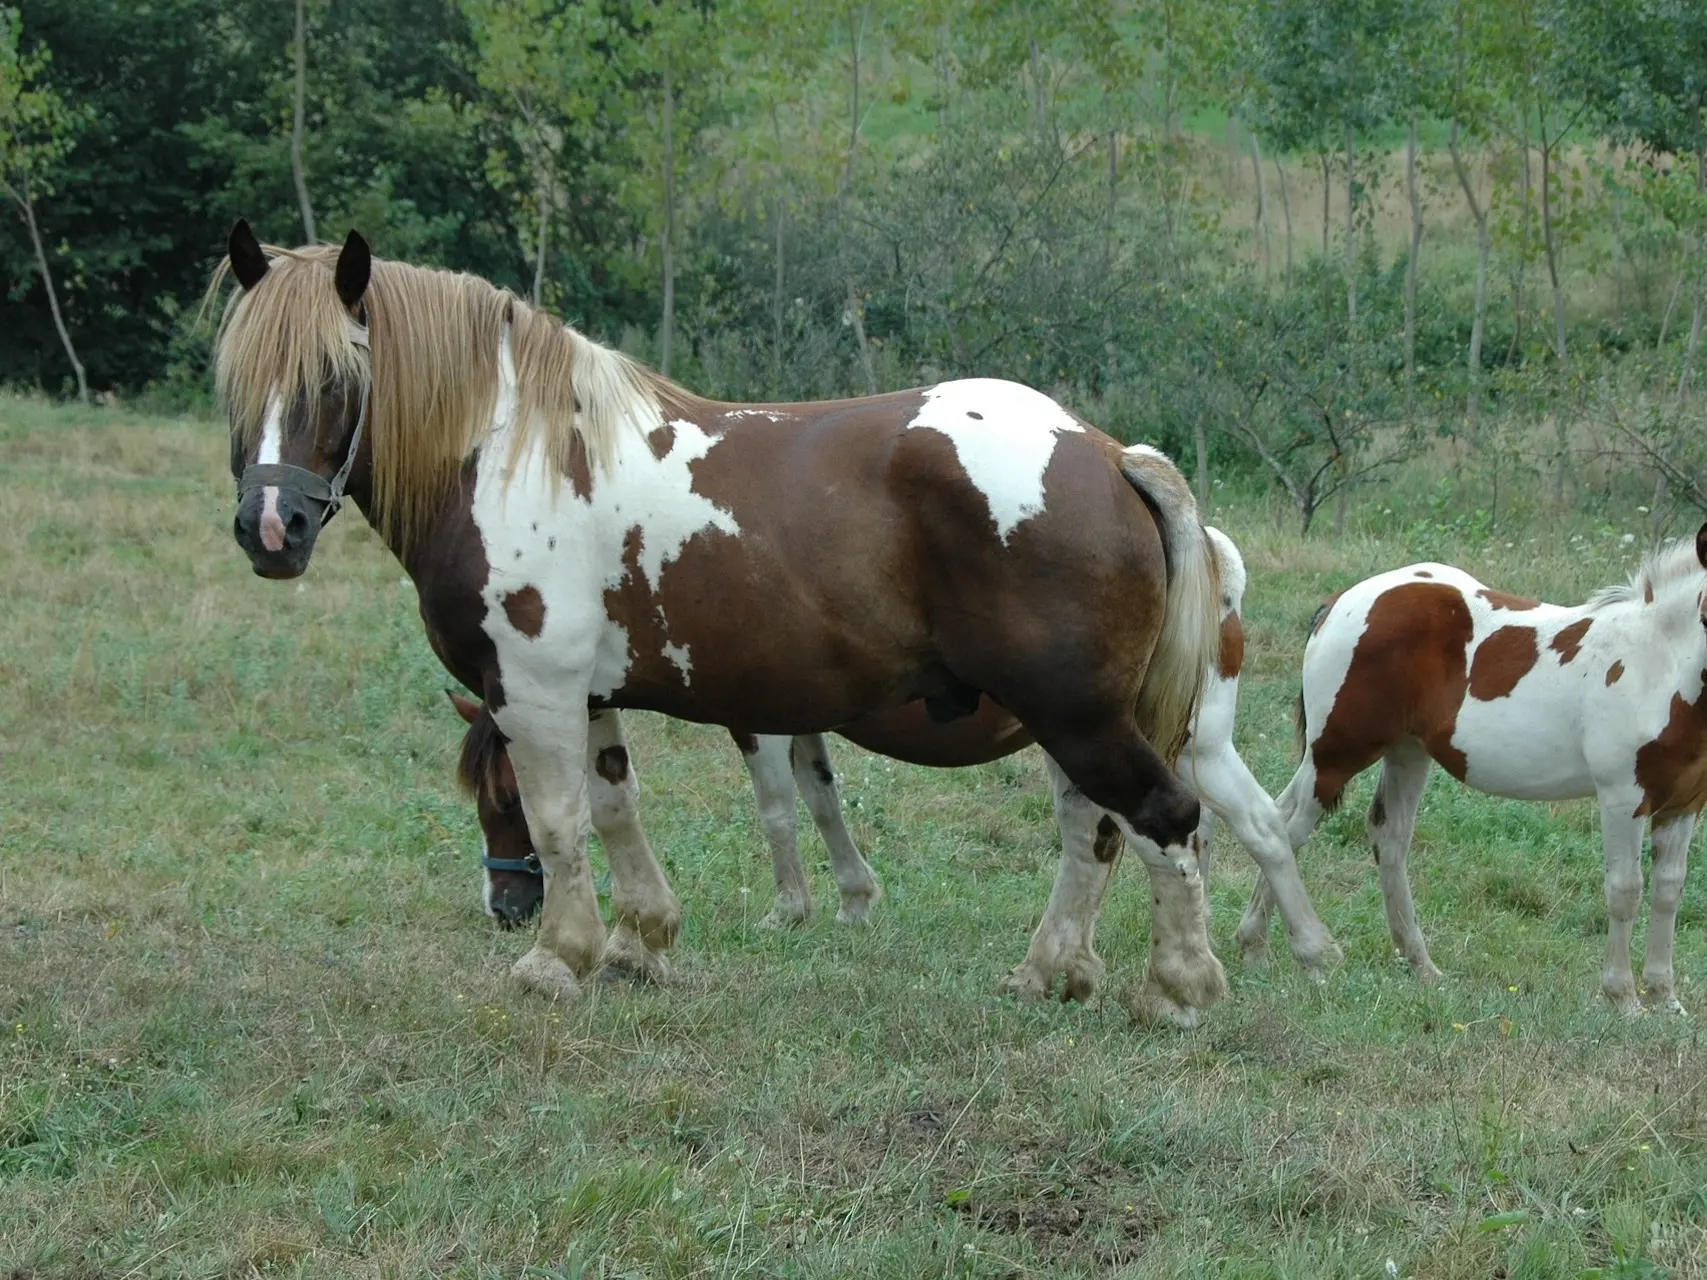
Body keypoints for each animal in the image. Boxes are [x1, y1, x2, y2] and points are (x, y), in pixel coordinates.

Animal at [209, 218, 1304, 1024]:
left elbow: (565, 821)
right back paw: (1051, 971)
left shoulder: (533, 690)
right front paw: (638, 942)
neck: (520, 456)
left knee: (1162, 819)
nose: (270, 530)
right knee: (1094, 828)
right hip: (1070, 718)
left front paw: (555, 957)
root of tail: (1108, 452)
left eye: (334, 380)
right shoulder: (588, 694)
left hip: (1078, 716)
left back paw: (1178, 988)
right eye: (235, 386)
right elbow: (615, 807)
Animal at [1235, 525, 1707, 1017]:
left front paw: (1665, 997)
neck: (1658, 666)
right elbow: (1625, 890)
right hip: (1337, 755)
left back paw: (1419, 966)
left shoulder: (1685, 804)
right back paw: (1268, 950)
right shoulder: (1622, 798)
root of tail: (1342, 600)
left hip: (1404, 752)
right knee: (1287, 830)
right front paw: (1623, 998)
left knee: (1382, 837)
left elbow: (1669, 891)